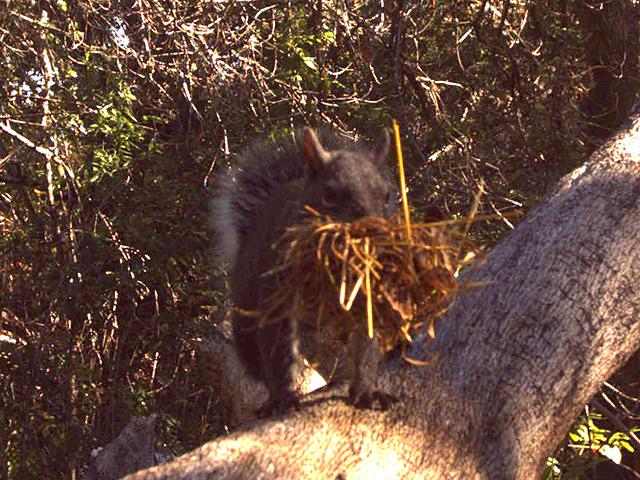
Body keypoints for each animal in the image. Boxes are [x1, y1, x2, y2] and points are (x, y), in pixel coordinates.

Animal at [211, 126, 396, 414]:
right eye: (329, 195)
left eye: (387, 195)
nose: (373, 232)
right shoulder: (280, 293)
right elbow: (279, 353)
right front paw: (283, 398)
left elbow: (366, 344)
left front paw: (366, 391)